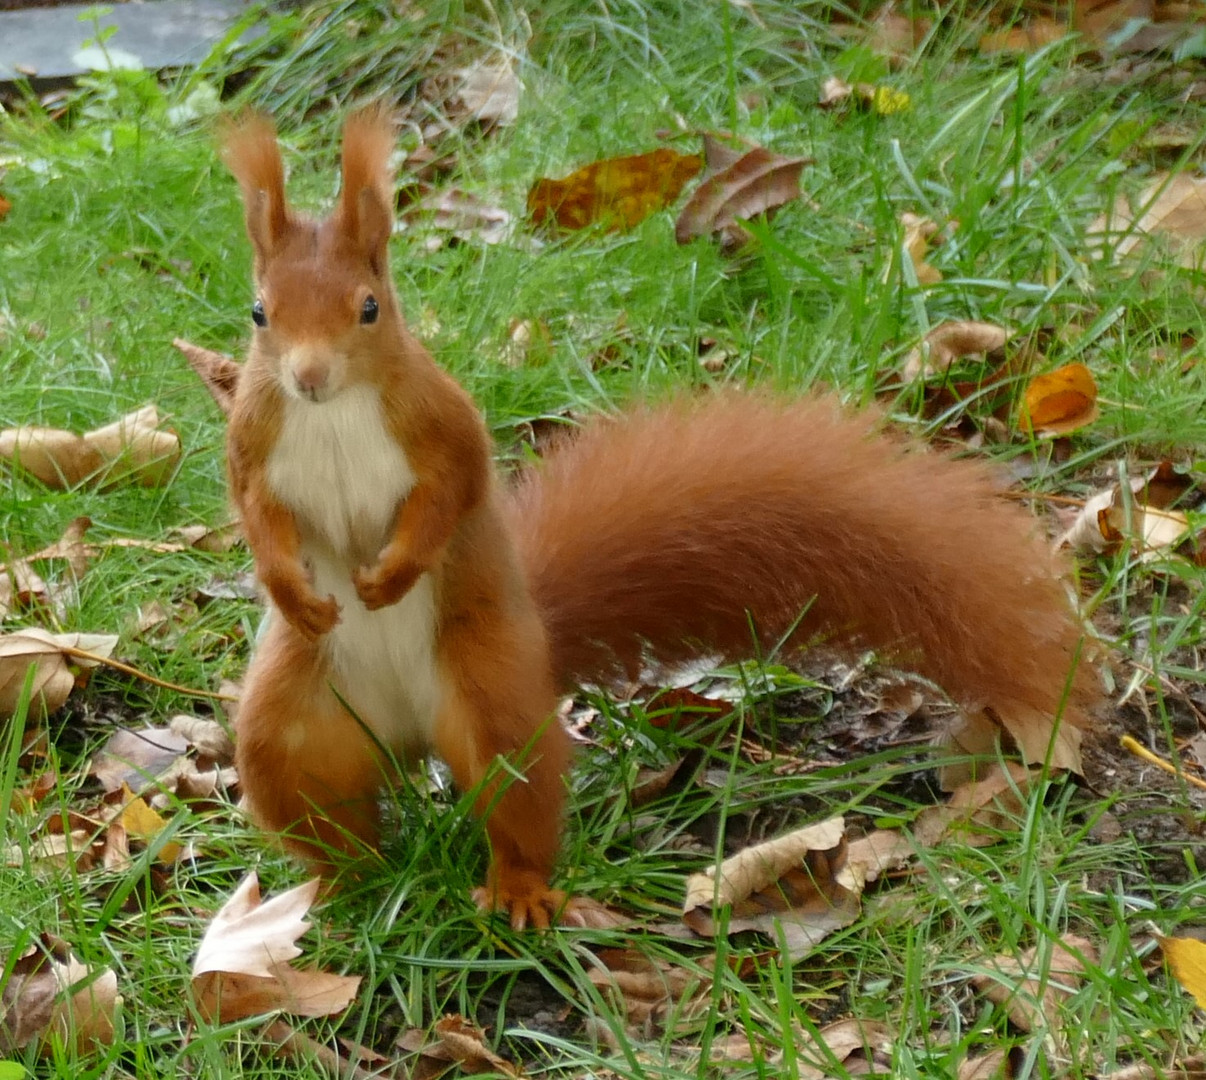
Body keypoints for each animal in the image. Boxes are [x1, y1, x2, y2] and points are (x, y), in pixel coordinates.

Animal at [219, 107, 1104, 925]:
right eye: (259, 313)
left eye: (369, 308)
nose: (307, 377)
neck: (335, 413)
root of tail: (409, 736)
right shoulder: (253, 445)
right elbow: (258, 518)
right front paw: (291, 589)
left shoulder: (442, 427)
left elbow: (452, 494)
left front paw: (393, 575)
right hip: (293, 729)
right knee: (326, 817)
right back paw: (339, 891)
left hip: (491, 695)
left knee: (519, 800)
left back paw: (517, 890)